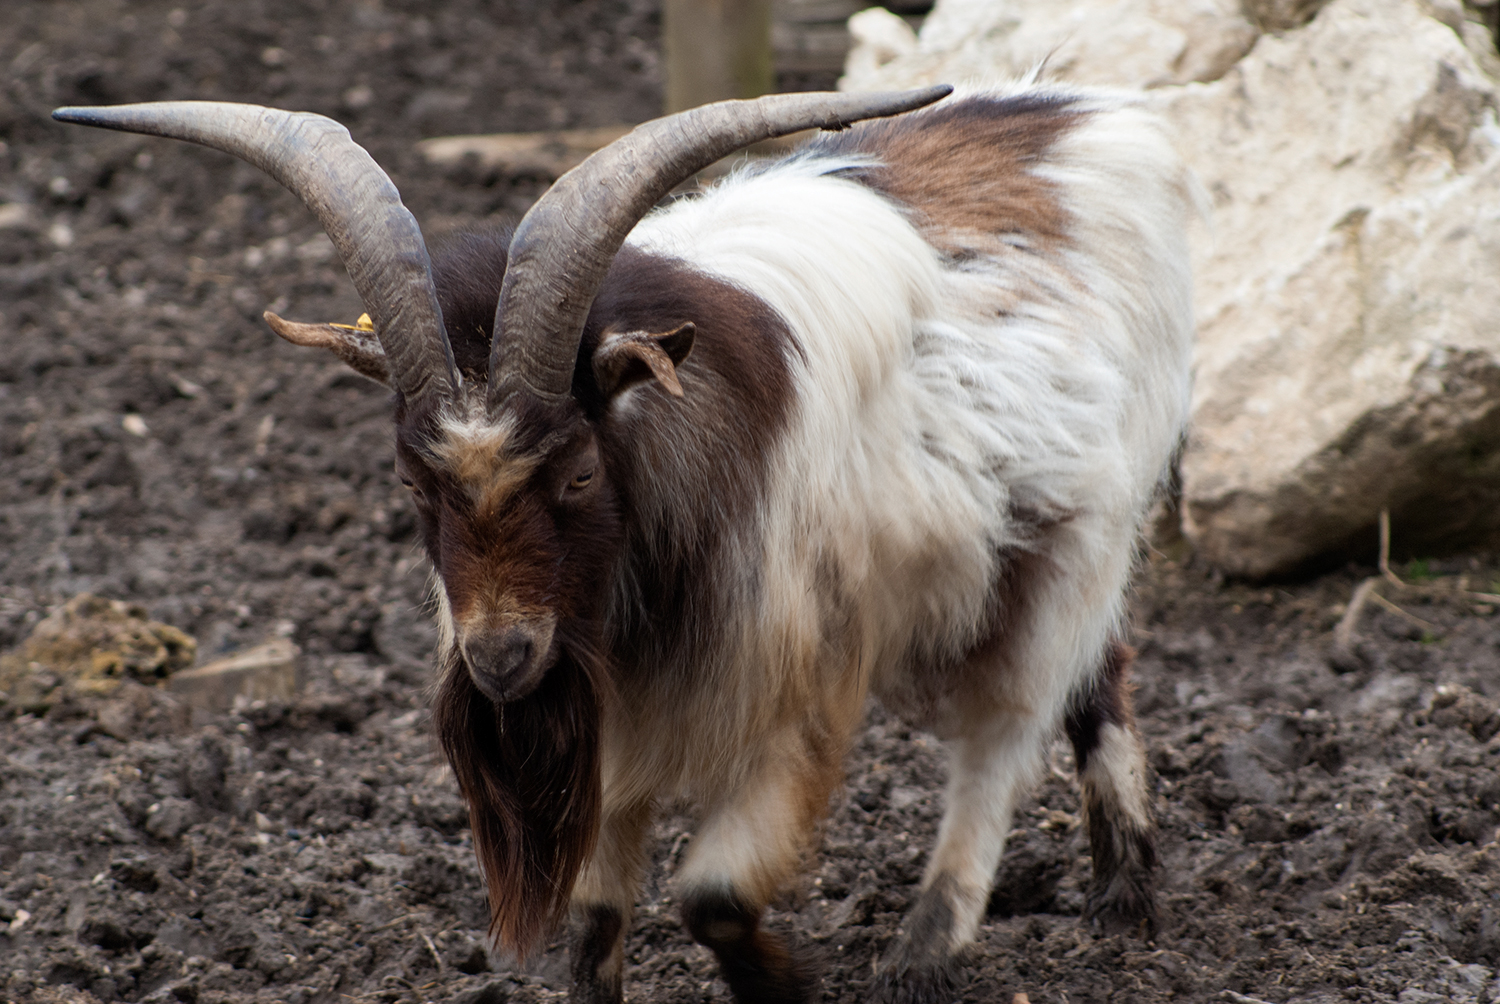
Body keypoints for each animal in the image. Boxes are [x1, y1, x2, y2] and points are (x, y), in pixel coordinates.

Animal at [58, 86, 1194, 1002]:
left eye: (577, 472)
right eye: (412, 482)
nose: (501, 659)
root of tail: (1094, 117)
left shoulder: (800, 689)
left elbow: (714, 893)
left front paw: (789, 981)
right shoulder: (612, 714)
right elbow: (599, 916)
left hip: (1073, 539)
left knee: (1007, 726)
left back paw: (932, 946)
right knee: (1097, 672)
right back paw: (1122, 894)